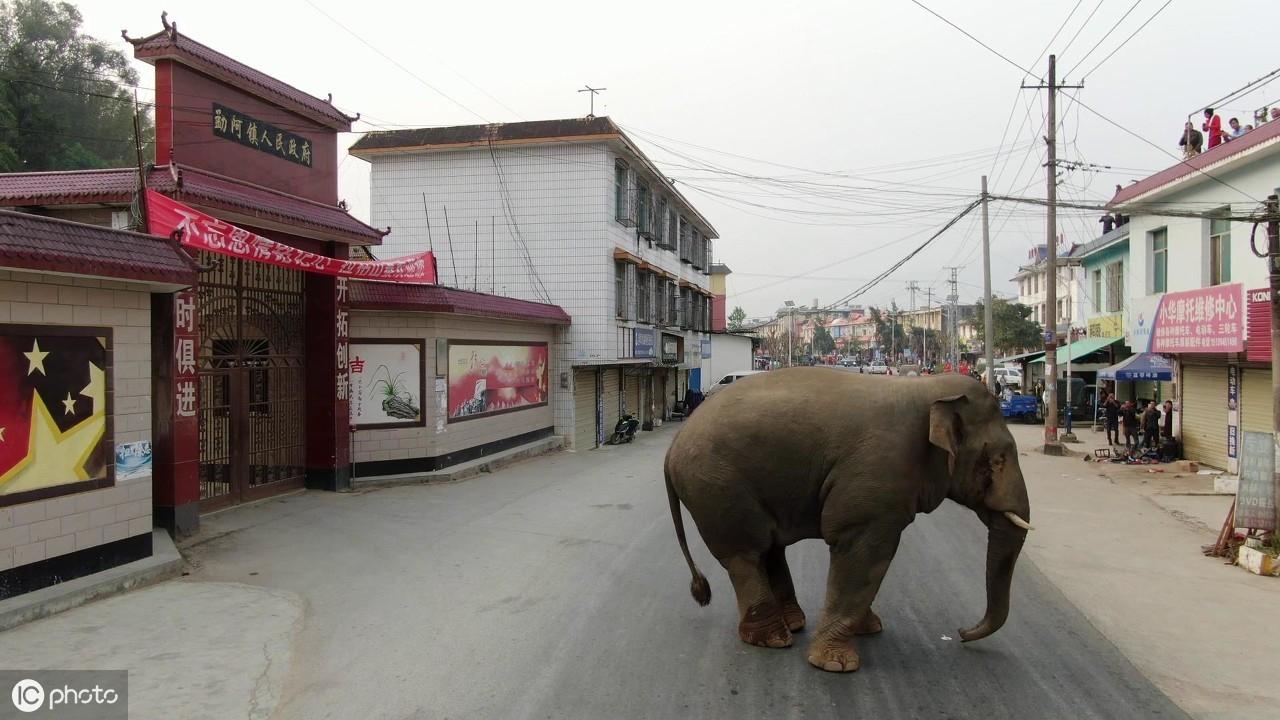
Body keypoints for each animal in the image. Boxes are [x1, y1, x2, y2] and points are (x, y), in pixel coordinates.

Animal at [665, 366, 1034, 671]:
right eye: (998, 460)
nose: (960, 632)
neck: (926, 390)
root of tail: (672, 449)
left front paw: (868, 629)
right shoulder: (876, 482)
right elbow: (863, 551)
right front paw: (836, 664)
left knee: (768, 547)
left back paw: (792, 624)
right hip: (717, 486)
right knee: (745, 553)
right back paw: (773, 639)